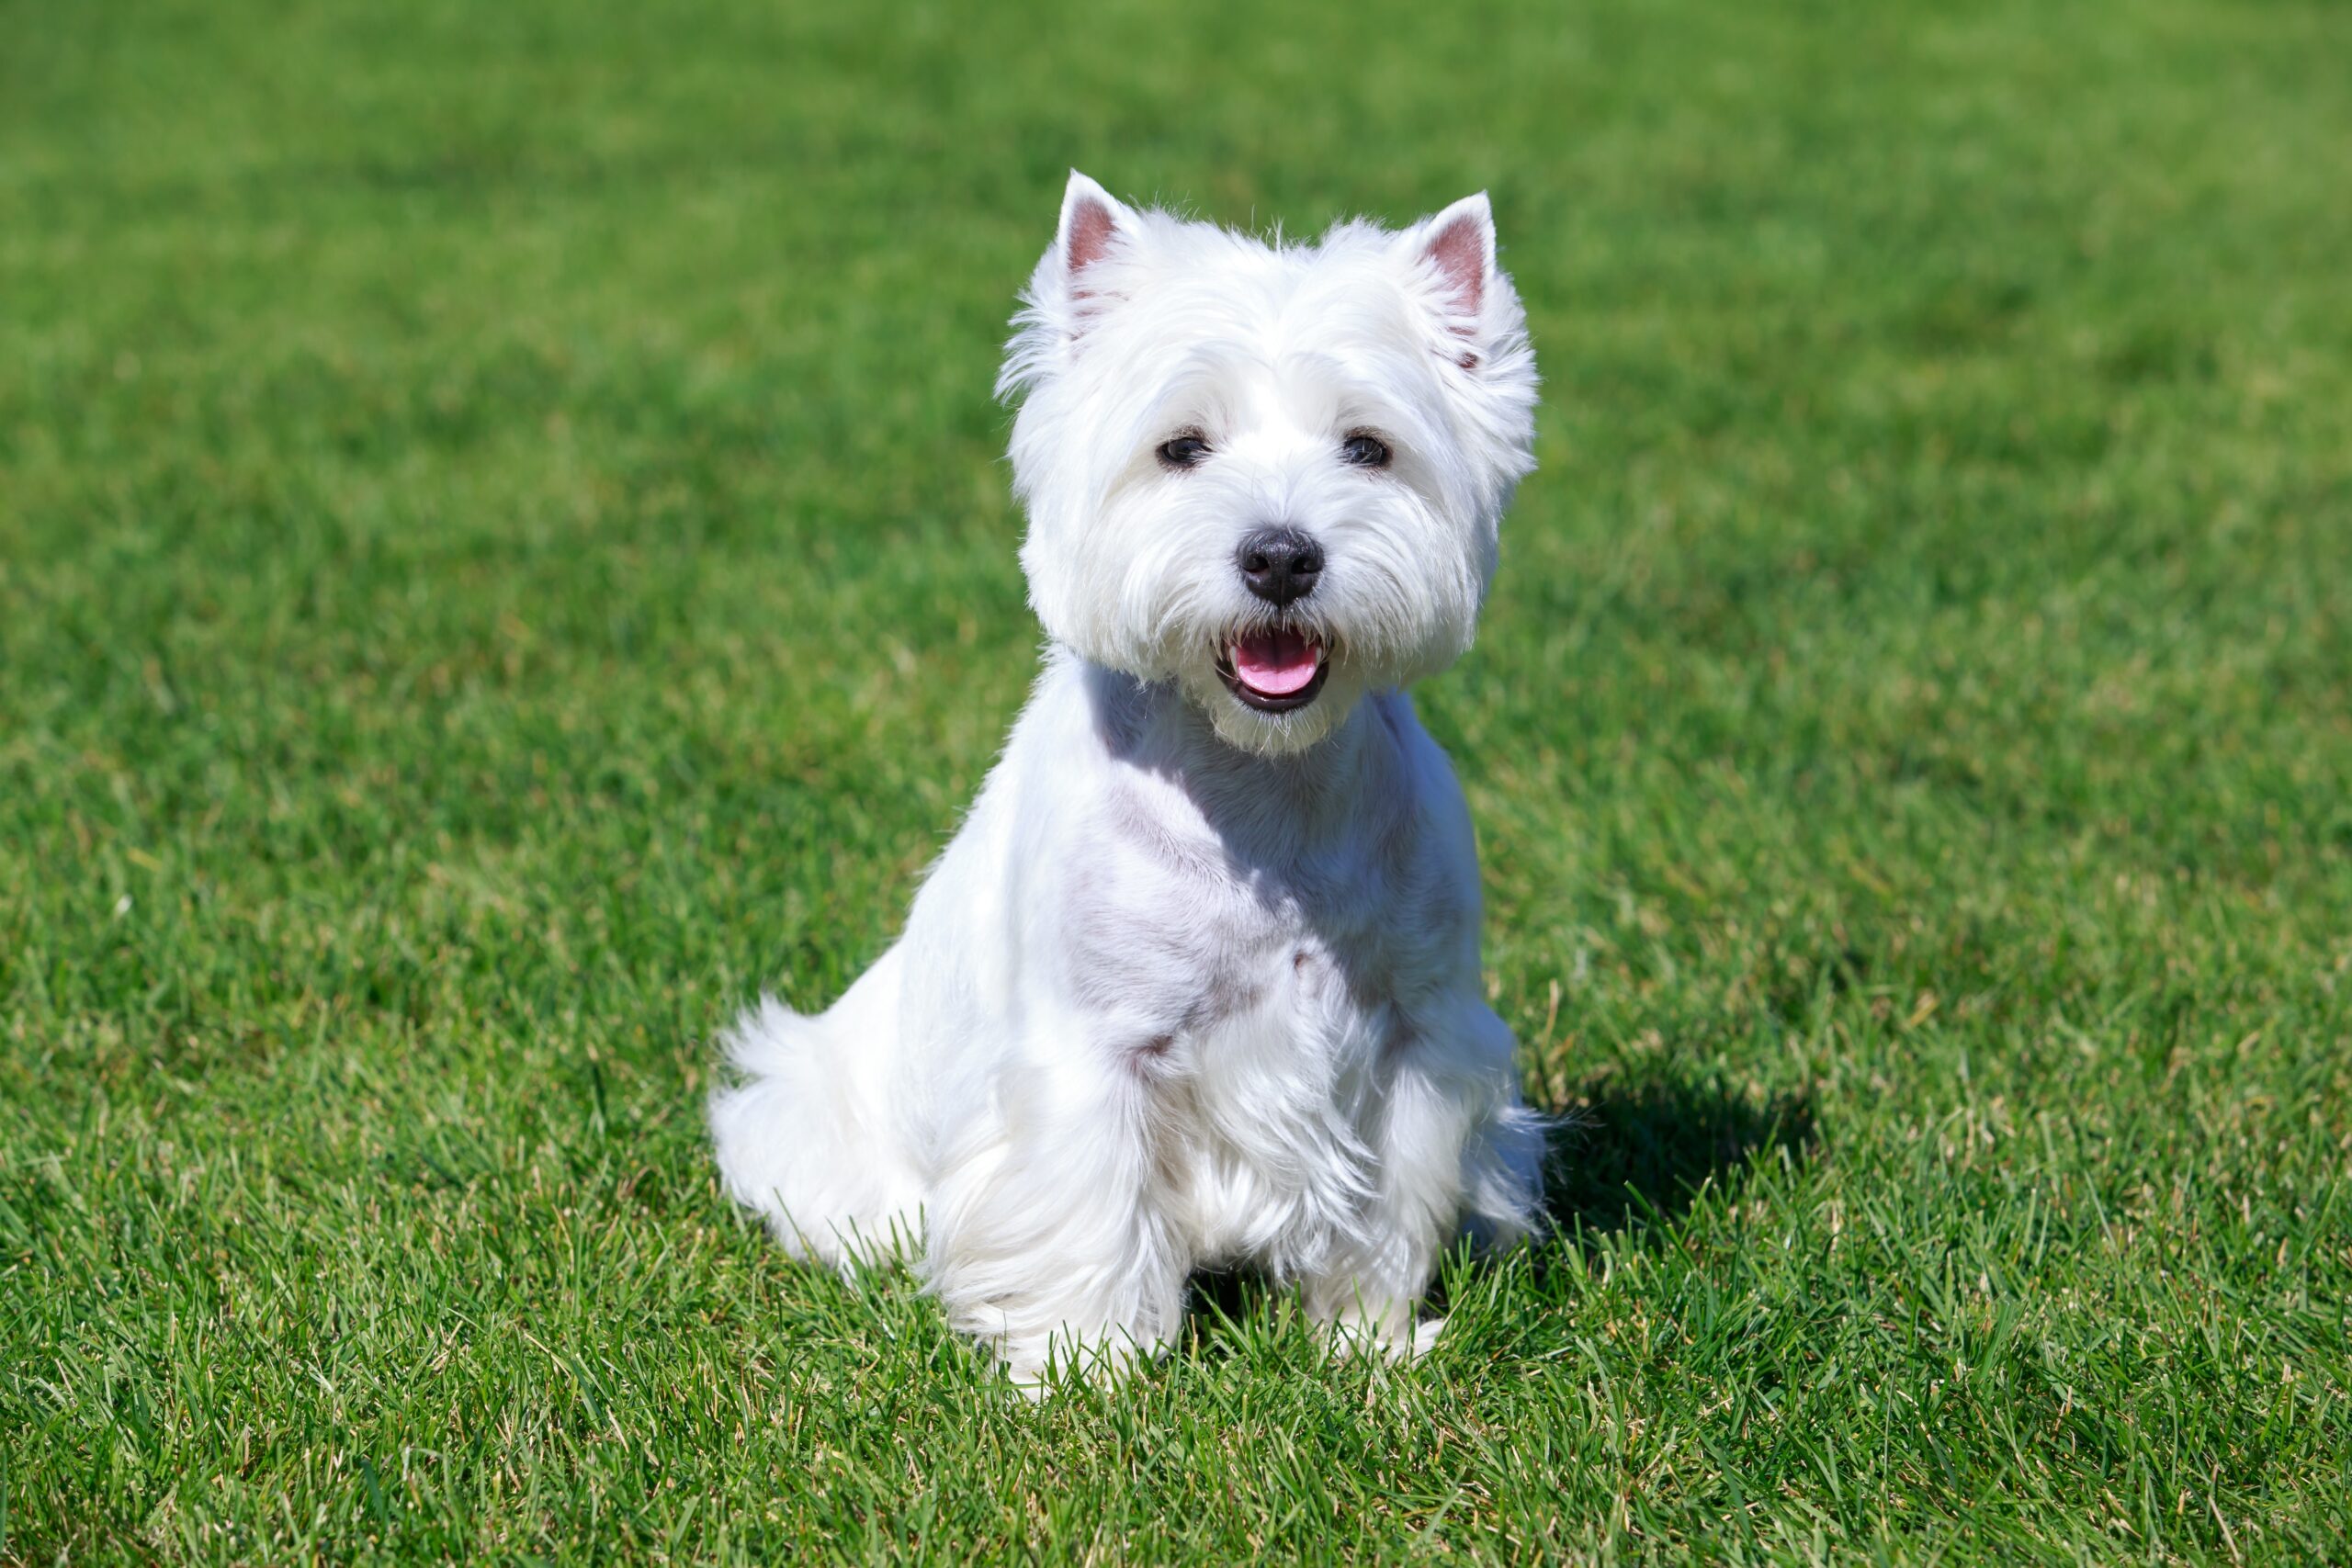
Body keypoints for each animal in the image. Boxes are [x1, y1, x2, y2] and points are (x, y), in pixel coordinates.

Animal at [706, 177, 1552, 1392]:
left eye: (1367, 447)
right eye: (1181, 447)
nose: (1280, 556)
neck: (1262, 791)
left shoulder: (1415, 1031)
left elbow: (1384, 1209)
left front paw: (1369, 1348)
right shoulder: (1090, 1053)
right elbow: (1090, 1215)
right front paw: (1088, 1372)